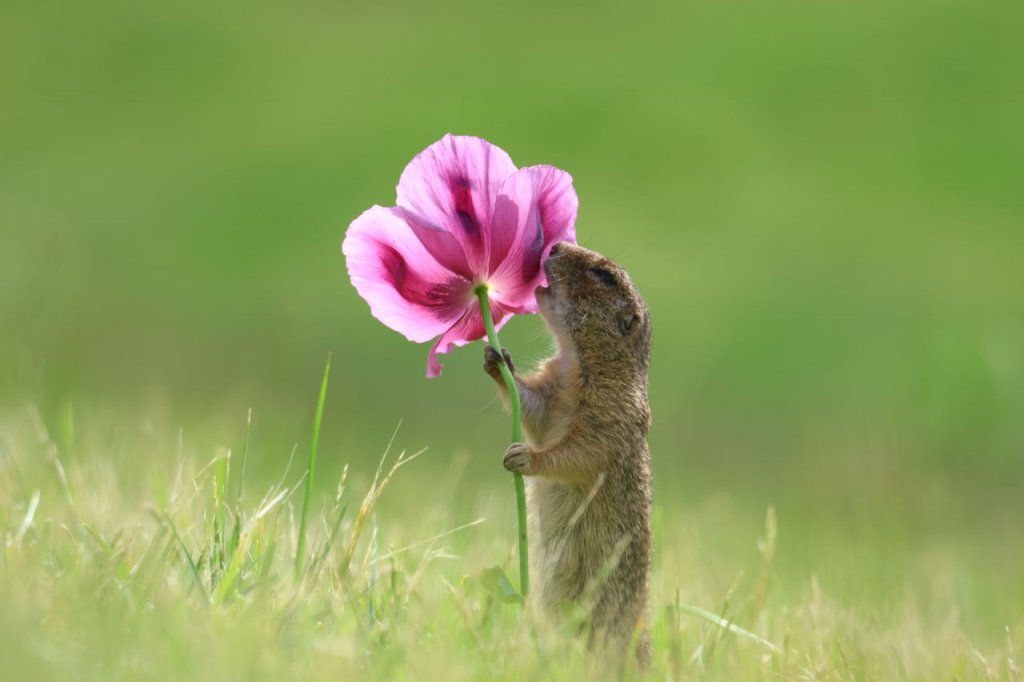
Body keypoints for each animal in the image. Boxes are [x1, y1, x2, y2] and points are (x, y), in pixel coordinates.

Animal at [483, 240, 651, 659]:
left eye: (603, 275)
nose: (555, 244)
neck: (576, 361)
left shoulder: (609, 415)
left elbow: (578, 453)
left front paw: (525, 457)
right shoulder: (550, 391)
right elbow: (534, 409)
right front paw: (498, 360)